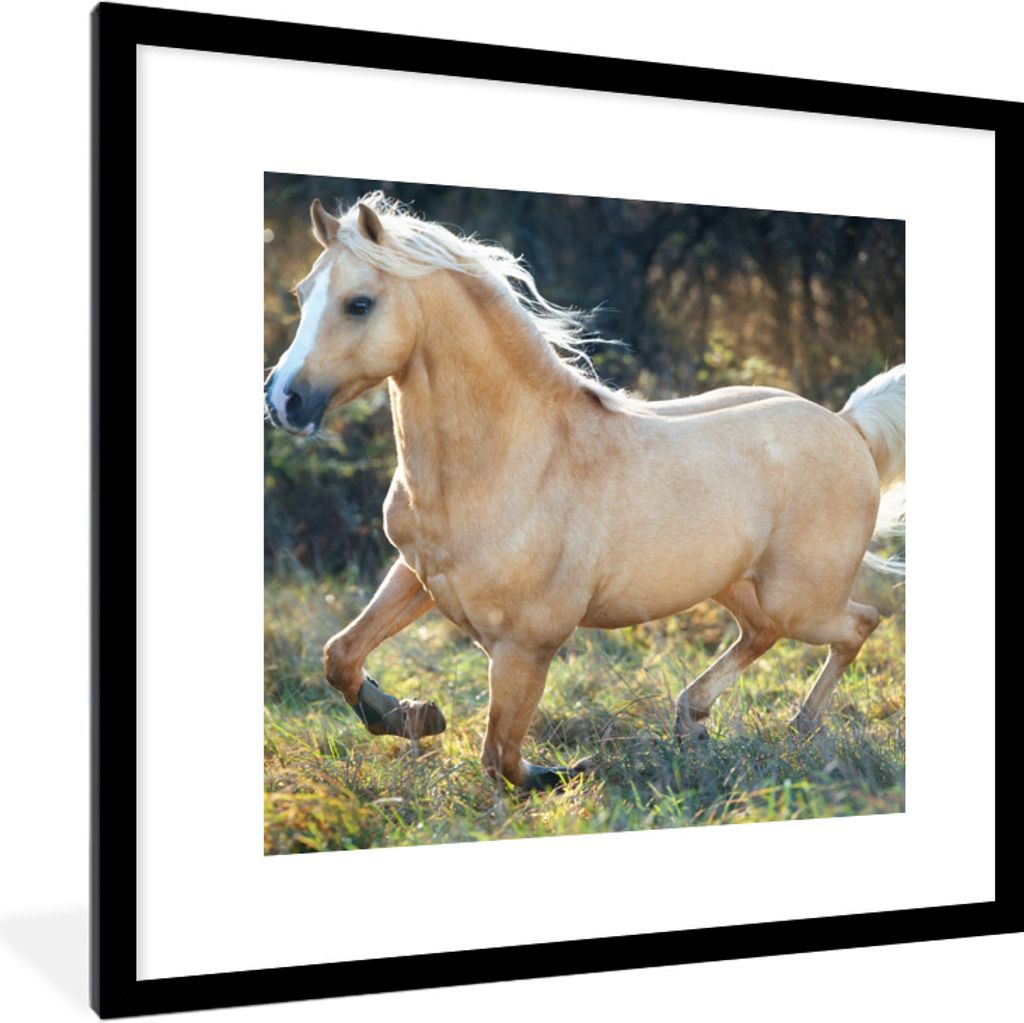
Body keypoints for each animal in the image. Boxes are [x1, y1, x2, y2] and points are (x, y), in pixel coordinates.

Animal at [264, 193, 906, 790]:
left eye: (359, 303)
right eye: (302, 294)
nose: (283, 400)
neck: (509, 463)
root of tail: (848, 425)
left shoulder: (526, 644)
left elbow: (501, 759)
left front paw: (560, 771)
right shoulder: (416, 574)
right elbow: (340, 655)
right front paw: (412, 713)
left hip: (800, 599)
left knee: (859, 623)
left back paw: (800, 728)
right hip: (734, 584)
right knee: (765, 632)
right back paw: (693, 719)